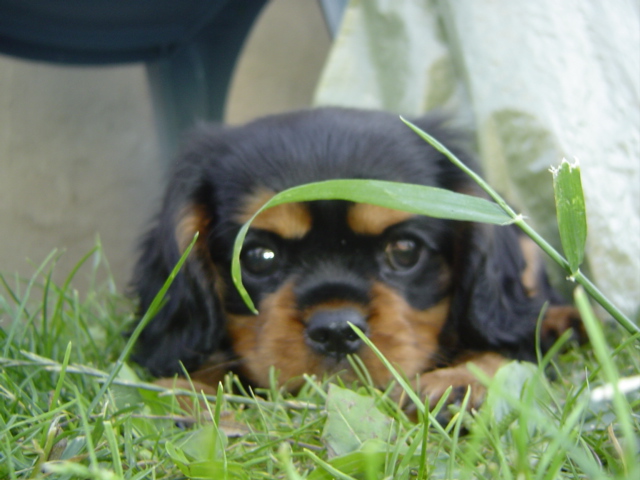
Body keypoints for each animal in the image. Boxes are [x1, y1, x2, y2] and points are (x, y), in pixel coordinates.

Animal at [131, 108, 580, 412]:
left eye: (405, 250)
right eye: (259, 257)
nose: (335, 331)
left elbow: (510, 352)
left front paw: (458, 383)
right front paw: (188, 391)